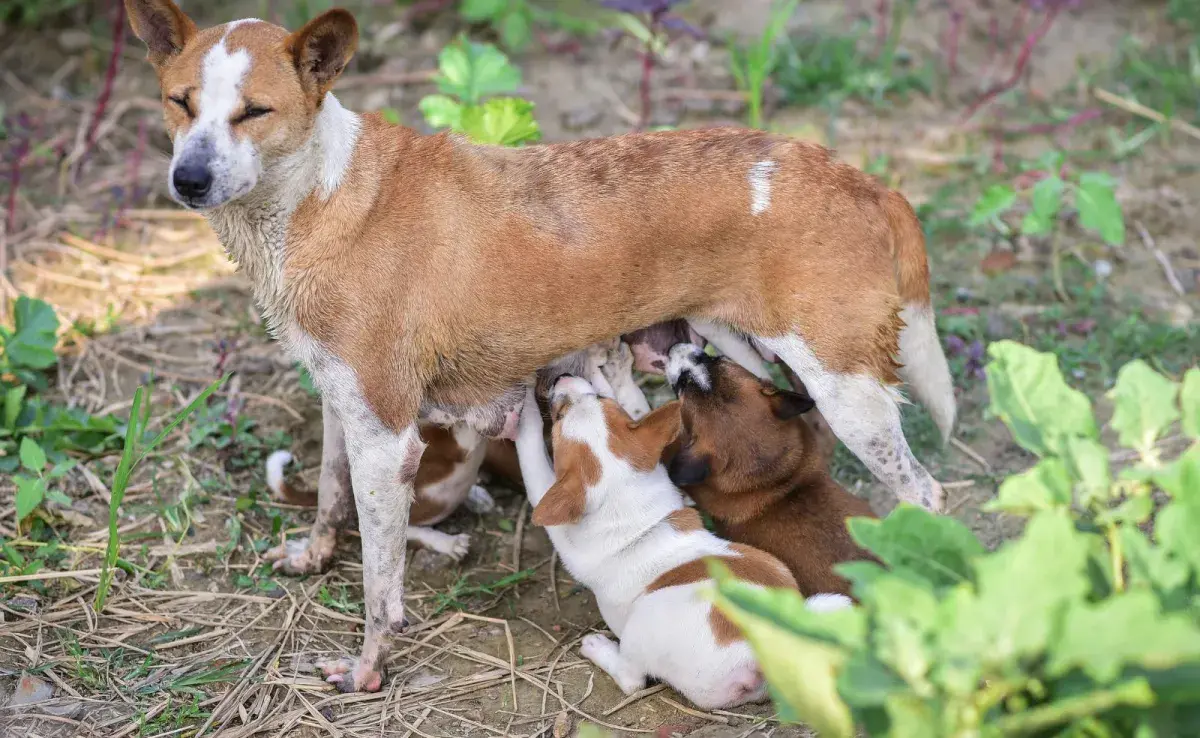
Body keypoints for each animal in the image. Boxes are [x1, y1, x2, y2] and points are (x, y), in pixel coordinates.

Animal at [511, 381, 849, 710]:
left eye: (558, 417)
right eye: (600, 396)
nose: (561, 377)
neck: (627, 496)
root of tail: (770, 652)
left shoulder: (560, 522)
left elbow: (533, 466)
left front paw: (523, 412)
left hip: (643, 623)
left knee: (632, 680)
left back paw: (599, 648)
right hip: (813, 596)